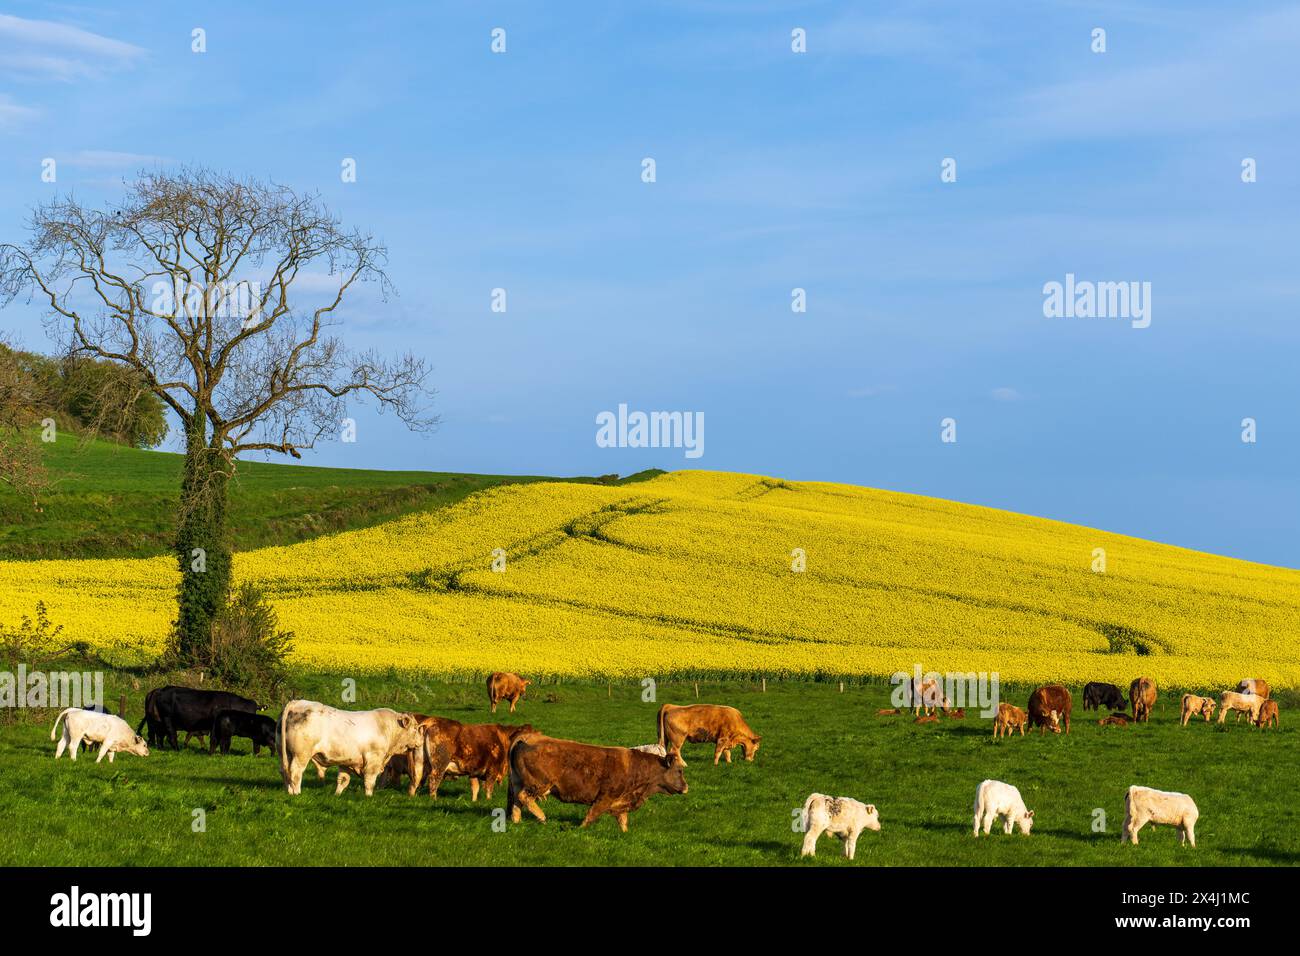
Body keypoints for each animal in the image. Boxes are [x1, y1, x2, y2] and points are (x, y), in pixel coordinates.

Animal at [276, 697, 423, 796]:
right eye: (415, 728)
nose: (420, 741)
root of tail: (297, 702)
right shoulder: (373, 760)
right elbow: (370, 780)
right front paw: (368, 796)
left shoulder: (346, 761)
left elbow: (343, 779)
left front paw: (337, 794)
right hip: (301, 755)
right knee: (295, 772)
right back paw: (296, 792)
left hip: (284, 753)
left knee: (284, 771)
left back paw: (289, 791)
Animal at [506, 738, 691, 832]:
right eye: (679, 771)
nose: (686, 787)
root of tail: (525, 741)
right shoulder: (605, 798)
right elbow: (590, 816)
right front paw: (579, 828)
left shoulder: (621, 802)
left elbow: (623, 820)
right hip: (538, 785)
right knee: (524, 797)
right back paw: (542, 817)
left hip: (519, 783)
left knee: (517, 801)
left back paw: (516, 821)